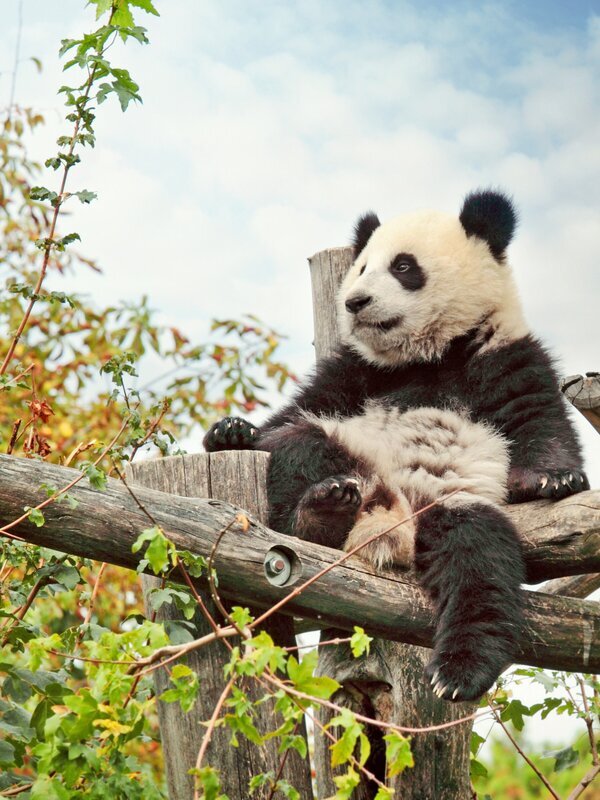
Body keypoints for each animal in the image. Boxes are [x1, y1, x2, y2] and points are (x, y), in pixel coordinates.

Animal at [204, 189, 589, 702]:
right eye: (362, 267)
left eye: (404, 266)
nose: (355, 301)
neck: (427, 355)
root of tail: (393, 517)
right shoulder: (354, 371)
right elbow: (298, 410)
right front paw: (231, 431)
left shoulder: (502, 350)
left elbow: (536, 416)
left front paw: (555, 477)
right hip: (344, 452)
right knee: (300, 445)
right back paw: (322, 510)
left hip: (452, 506)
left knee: (479, 562)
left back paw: (459, 671)